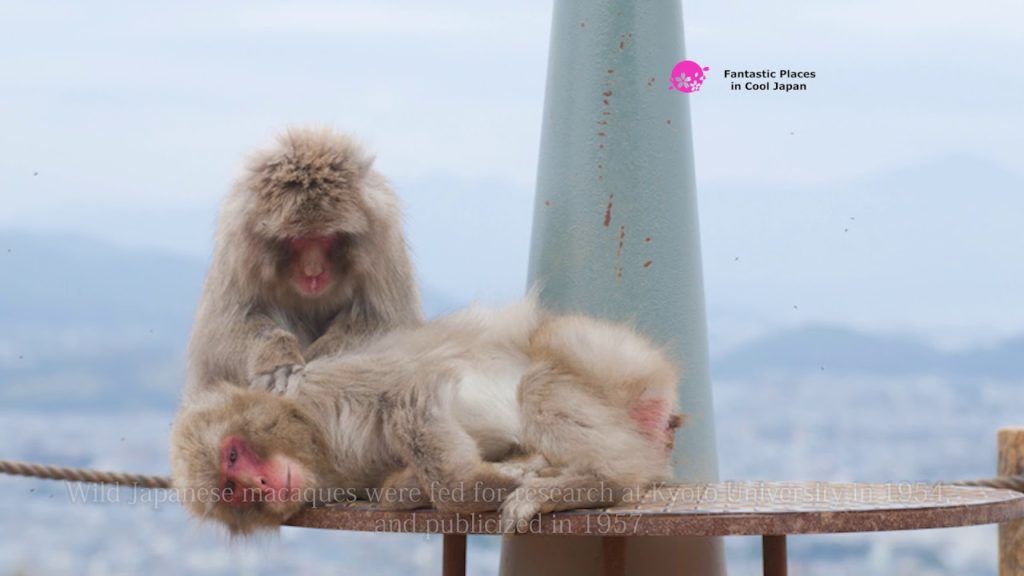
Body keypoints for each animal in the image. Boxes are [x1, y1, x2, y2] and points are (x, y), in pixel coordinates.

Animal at [171, 298, 682, 534]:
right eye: (230, 489)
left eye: (233, 455)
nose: (258, 484)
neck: (312, 439)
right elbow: (389, 492)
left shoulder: (328, 397)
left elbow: (410, 395)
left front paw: (483, 487)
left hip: (612, 358)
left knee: (540, 374)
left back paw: (598, 482)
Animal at [185, 127, 423, 401]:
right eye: (297, 240)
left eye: (326, 238)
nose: (313, 273)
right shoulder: (238, 248)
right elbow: (225, 328)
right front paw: (278, 362)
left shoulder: (383, 245)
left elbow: (384, 322)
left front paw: (324, 360)